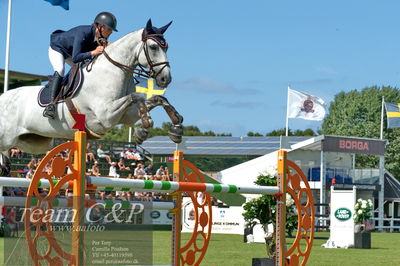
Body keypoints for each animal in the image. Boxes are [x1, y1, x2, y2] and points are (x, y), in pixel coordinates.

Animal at [0, 19, 183, 177]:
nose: (165, 79)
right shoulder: (106, 116)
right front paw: (145, 126)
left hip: (33, 142)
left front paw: (175, 128)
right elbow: (137, 96)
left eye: (166, 47)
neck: (114, 70)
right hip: (8, 138)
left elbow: (158, 99)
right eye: (153, 47)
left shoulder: (126, 116)